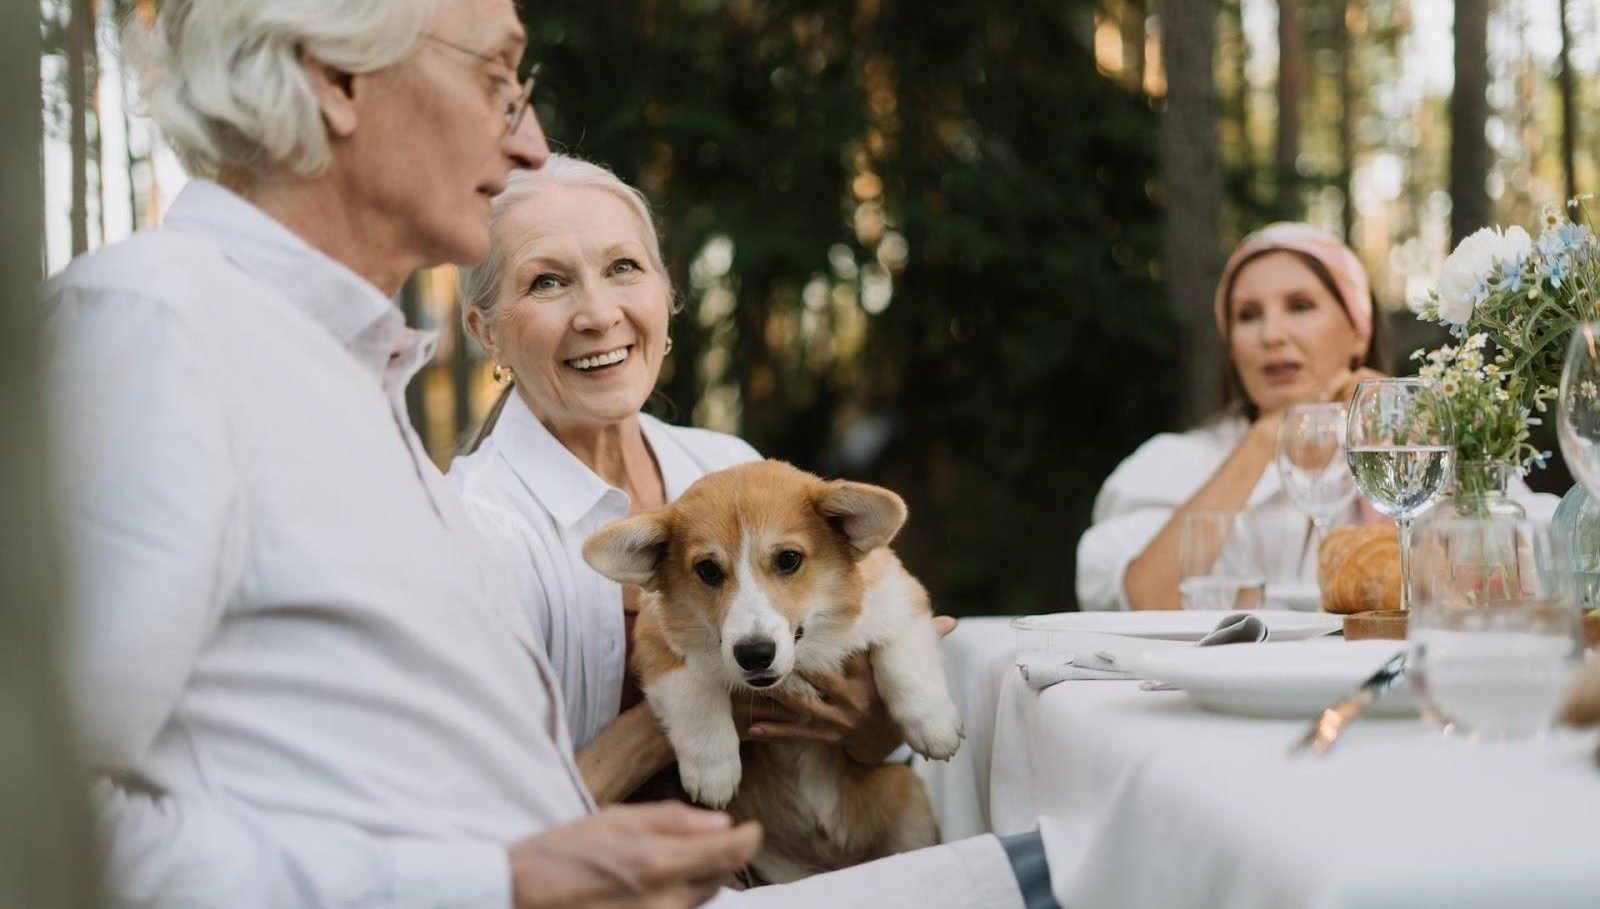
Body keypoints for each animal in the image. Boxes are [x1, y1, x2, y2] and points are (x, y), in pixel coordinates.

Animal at [585, 460, 960, 883]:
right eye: (707, 569)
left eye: (788, 559)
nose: (754, 654)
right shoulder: (658, 642)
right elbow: (694, 693)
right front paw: (714, 771)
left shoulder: (899, 599)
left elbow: (902, 661)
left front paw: (934, 727)